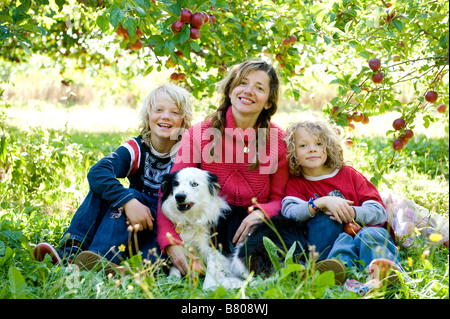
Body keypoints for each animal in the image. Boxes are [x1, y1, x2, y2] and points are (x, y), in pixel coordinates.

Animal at [161, 168, 310, 288]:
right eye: (176, 184)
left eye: (194, 184)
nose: (179, 197)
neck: (195, 218)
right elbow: (174, 270)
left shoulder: (218, 250)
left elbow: (208, 284)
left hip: (245, 250)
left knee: (261, 280)